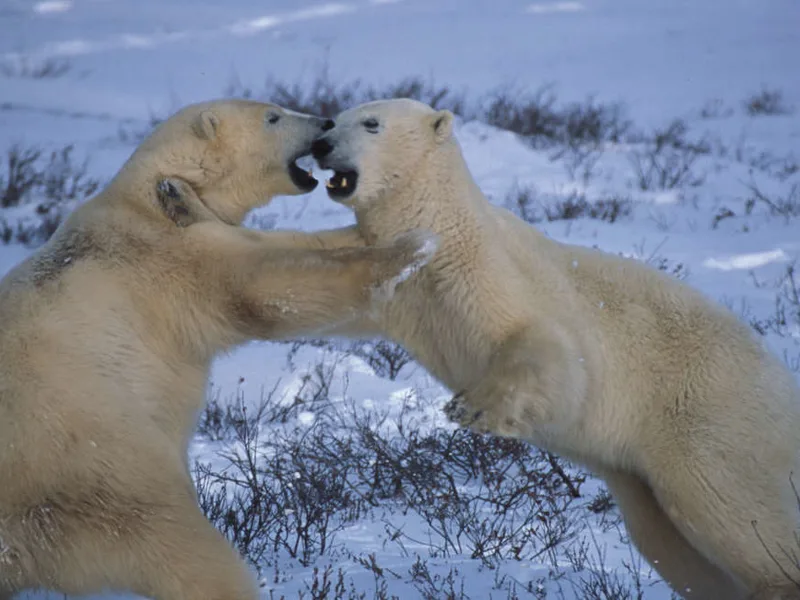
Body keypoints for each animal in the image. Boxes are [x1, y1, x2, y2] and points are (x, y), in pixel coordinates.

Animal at [0, 98, 437, 600]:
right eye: (273, 116)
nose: (325, 122)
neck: (150, 193)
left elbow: (289, 245)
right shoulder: (171, 257)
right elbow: (269, 286)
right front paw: (411, 248)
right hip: (100, 468)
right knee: (183, 547)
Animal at [299, 98, 800, 599]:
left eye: (371, 123)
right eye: (333, 119)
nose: (321, 144)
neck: (444, 225)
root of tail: (780, 381)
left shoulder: (487, 274)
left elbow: (551, 349)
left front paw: (473, 408)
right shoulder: (396, 286)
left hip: (707, 416)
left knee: (728, 506)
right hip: (645, 474)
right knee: (669, 540)